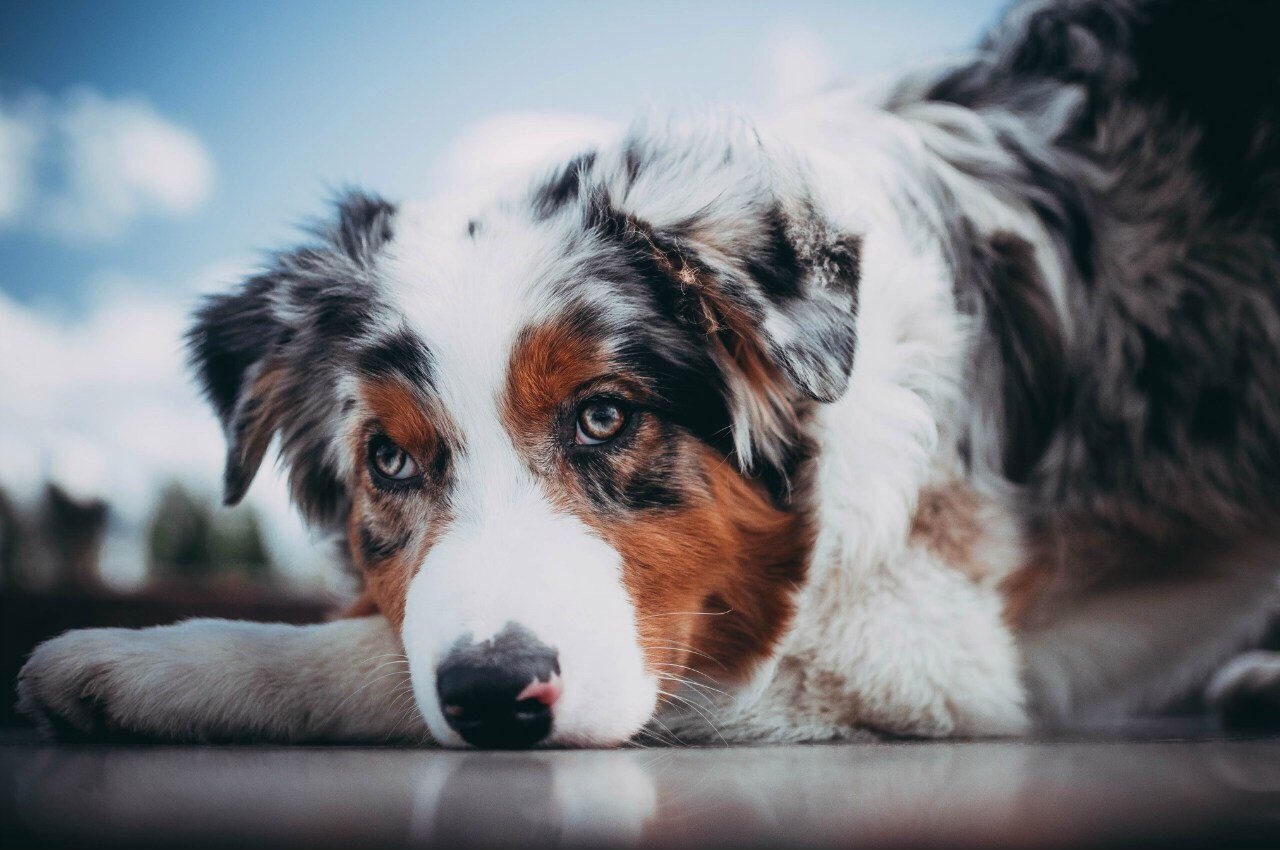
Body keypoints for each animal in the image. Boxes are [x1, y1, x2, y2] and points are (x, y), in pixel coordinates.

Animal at [15, 0, 1280, 742]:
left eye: (604, 417)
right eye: (389, 460)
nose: (494, 698)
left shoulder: (914, 648)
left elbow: (386, 654)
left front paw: (139, 663)